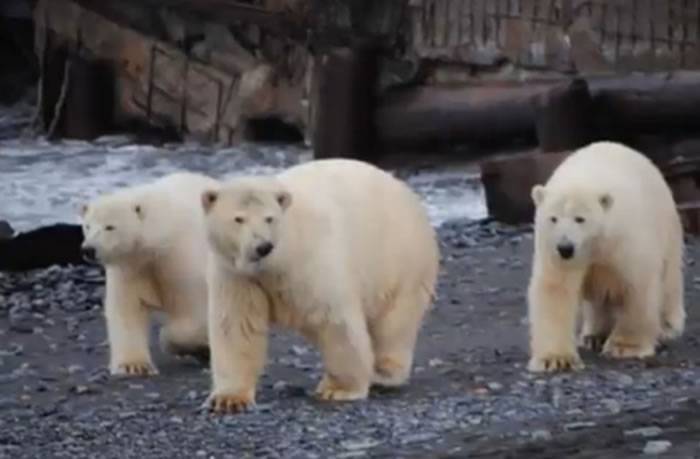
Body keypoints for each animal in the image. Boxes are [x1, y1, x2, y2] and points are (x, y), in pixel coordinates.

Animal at [79, 172, 217, 378]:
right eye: (87, 226)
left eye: (109, 227)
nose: (88, 249)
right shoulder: (130, 267)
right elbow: (126, 309)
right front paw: (133, 366)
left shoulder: (181, 259)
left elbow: (194, 309)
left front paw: (182, 342)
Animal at [198, 158, 438, 414]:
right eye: (239, 219)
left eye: (269, 218)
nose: (263, 246)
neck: (276, 261)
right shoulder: (236, 275)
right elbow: (237, 326)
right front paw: (229, 399)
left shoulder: (310, 261)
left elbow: (334, 320)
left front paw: (338, 389)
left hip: (400, 260)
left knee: (393, 322)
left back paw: (383, 372)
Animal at [532, 141, 684, 374]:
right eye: (553, 218)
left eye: (580, 219)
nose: (565, 247)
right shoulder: (553, 251)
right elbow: (556, 290)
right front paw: (556, 359)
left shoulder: (624, 241)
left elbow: (637, 286)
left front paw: (624, 347)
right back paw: (593, 335)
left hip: (666, 223)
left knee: (669, 279)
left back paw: (667, 327)